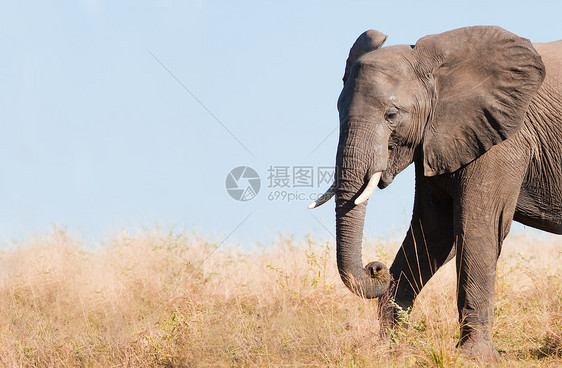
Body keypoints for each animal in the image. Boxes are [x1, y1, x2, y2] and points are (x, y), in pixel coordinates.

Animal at [308, 27, 556, 360]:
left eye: (391, 114)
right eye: (337, 110)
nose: (375, 268)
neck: (439, 67)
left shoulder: (504, 138)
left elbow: (476, 228)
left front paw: (474, 357)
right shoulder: (440, 137)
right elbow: (434, 232)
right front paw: (393, 350)